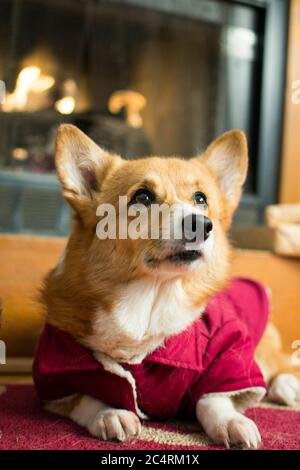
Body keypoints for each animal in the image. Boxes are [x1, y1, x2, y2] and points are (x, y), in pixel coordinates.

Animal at [37, 124, 300, 448]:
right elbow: (88, 394)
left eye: (201, 199)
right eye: (143, 197)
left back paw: (287, 386)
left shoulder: (228, 352)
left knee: (281, 365)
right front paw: (110, 414)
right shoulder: (56, 370)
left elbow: (212, 399)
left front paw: (230, 423)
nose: (201, 225)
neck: (150, 301)